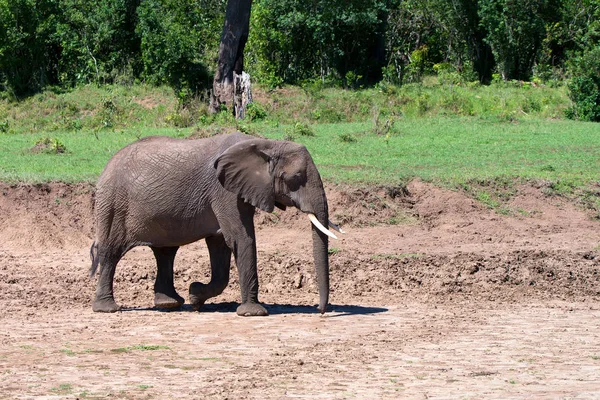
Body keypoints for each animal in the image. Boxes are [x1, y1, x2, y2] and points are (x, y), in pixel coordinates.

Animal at [89, 131, 342, 316]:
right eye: (296, 178)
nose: (320, 311)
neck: (266, 144)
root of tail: (107, 166)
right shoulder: (223, 191)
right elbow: (240, 237)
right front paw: (254, 313)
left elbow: (220, 244)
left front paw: (195, 296)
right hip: (112, 203)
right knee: (111, 252)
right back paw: (108, 309)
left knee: (165, 252)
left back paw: (170, 304)